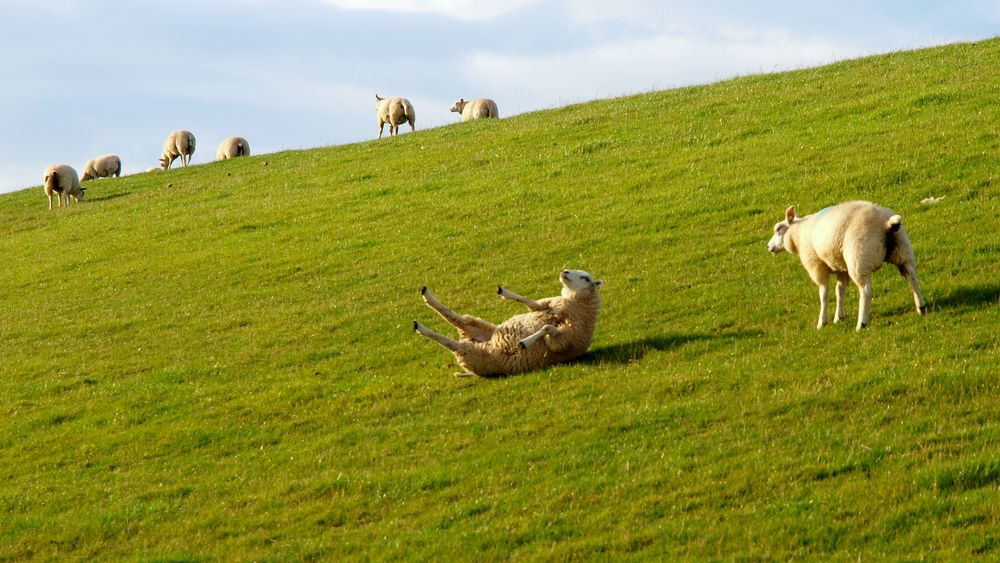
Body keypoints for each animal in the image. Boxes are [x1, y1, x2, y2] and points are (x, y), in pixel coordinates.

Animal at [414, 270, 600, 378]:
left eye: (585, 278)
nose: (565, 271)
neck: (579, 307)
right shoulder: (546, 306)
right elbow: (529, 302)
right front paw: (504, 292)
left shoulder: (564, 341)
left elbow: (548, 328)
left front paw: (525, 343)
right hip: (477, 325)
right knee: (455, 318)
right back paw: (426, 296)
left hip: (473, 354)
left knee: (451, 342)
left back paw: (420, 327)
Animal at [764, 200, 928, 330]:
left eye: (778, 229)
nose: (768, 247)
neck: (798, 234)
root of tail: (886, 223)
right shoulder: (840, 266)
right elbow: (840, 291)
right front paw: (839, 317)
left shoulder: (816, 265)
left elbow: (824, 293)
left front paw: (822, 322)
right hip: (902, 250)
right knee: (911, 275)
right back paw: (921, 306)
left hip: (858, 258)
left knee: (866, 290)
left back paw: (861, 323)